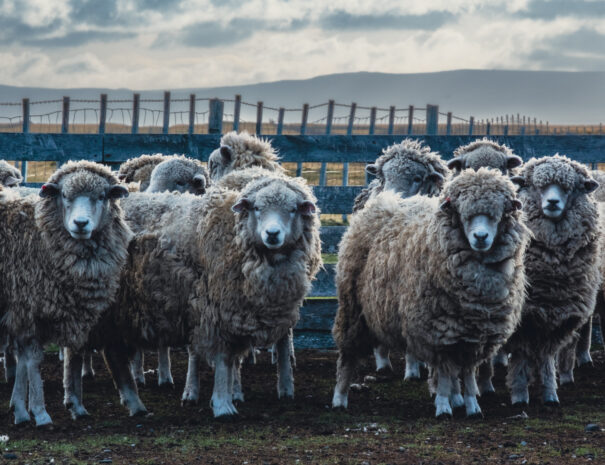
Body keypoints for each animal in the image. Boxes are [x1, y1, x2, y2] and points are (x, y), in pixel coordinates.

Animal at [0, 162, 130, 424]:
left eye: (102, 196)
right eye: (65, 195)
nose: (80, 223)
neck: (38, 237)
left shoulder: (23, 311)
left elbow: (23, 361)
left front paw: (20, 409)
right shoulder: (27, 306)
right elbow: (32, 359)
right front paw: (39, 412)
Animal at [330, 168, 528, 416]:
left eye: (498, 214)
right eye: (462, 213)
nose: (480, 237)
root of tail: (384, 202)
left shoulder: (474, 333)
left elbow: (467, 373)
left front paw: (471, 405)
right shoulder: (438, 331)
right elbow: (444, 372)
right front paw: (443, 406)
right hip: (352, 307)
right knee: (347, 356)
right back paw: (339, 398)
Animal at [500, 154, 600, 404]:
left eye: (569, 188)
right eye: (537, 186)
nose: (553, 203)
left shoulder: (560, 316)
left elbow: (546, 357)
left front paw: (550, 392)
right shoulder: (524, 319)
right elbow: (520, 356)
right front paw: (519, 393)